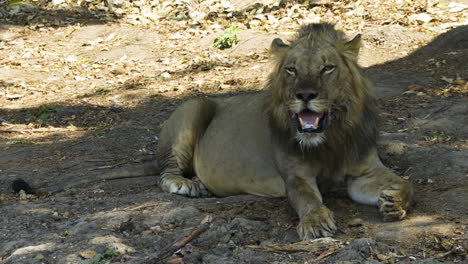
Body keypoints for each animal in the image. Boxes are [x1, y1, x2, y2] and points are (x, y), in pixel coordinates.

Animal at [11, 23, 412, 240]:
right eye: (292, 70)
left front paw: (394, 201)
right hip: (195, 105)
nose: (305, 96)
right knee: (164, 173)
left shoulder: (365, 171)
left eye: (328, 68)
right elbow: (308, 199)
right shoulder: (295, 175)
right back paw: (190, 186)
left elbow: (405, 182)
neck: (329, 139)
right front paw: (315, 223)